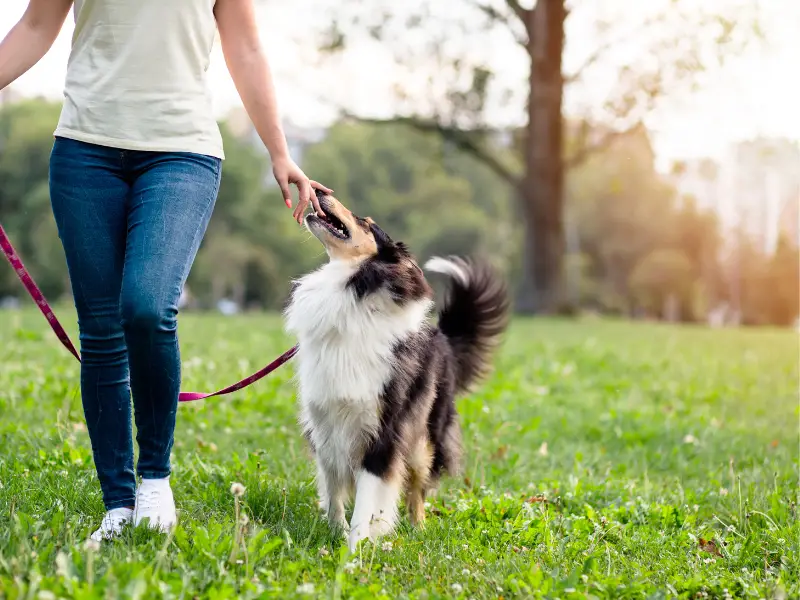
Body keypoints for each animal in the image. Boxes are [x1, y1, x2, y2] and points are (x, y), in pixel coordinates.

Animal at [284, 190, 510, 552]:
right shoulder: (325, 424)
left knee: (418, 489)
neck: (352, 290)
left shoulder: (384, 432)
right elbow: (333, 490)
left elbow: (368, 498)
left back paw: (418, 530)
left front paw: (354, 550)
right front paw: (336, 532)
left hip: (423, 440)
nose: (320, 191)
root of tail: (442, 336)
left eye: (367, 223)